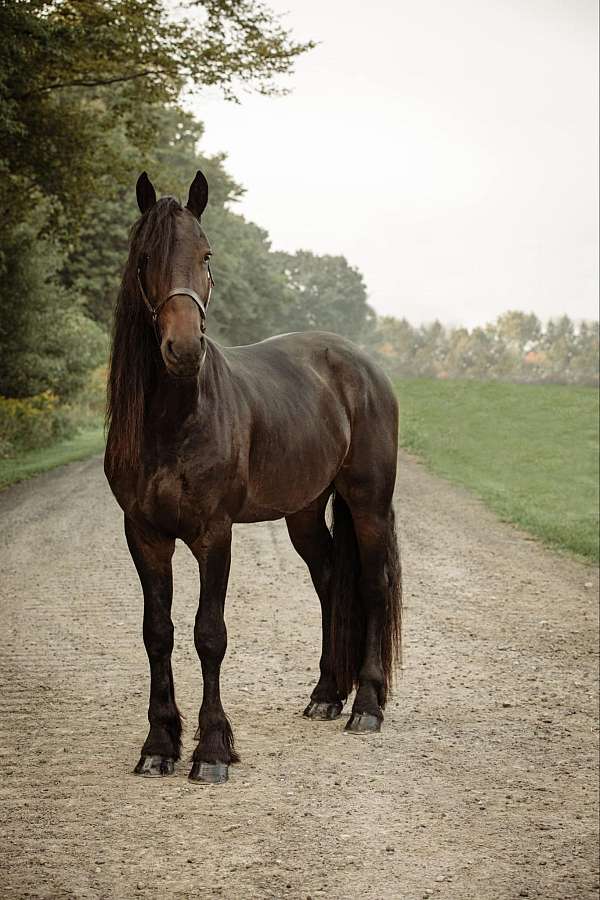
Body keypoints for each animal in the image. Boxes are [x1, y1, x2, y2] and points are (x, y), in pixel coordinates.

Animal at [105, 172, 400, 784]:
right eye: (144, 259)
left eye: (206, 255)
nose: (184, 349)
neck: (176, 419)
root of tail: (361, 364)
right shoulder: (144, 534)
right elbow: (158, 633)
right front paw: (159, 745)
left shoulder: (214, 533)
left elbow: (209, 634)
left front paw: (213, 750)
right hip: (305, 512)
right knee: (330, 580)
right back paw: (326, 695)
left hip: (369, 502)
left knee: (372, 585)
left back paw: (367, 705)